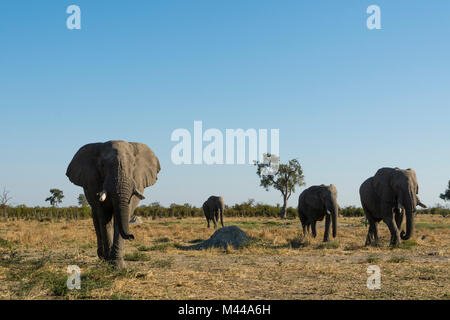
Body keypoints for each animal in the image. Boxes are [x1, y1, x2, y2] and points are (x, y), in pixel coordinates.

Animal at [65, 140, 160, 268]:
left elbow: (122, 217)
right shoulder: (94, 182)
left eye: (133, 165)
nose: (132, 236)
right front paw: (110, 262)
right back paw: (102, 257)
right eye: (102, 166)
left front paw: (118, 265)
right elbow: (105, 217)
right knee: (96, 219)